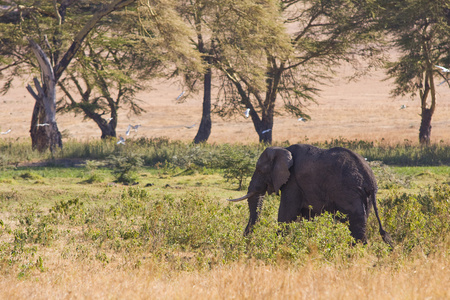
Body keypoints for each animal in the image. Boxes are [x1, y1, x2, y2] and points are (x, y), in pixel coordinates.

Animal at [227, 144, 392, 246]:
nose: (245, 240)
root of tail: (371, 180)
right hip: (364, 198)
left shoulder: (293, 181)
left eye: (260, 170)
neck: (283, 149)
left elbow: (286, 214)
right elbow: (305, 216)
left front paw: (278, 243)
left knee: (356, 226)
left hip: (350, 194)